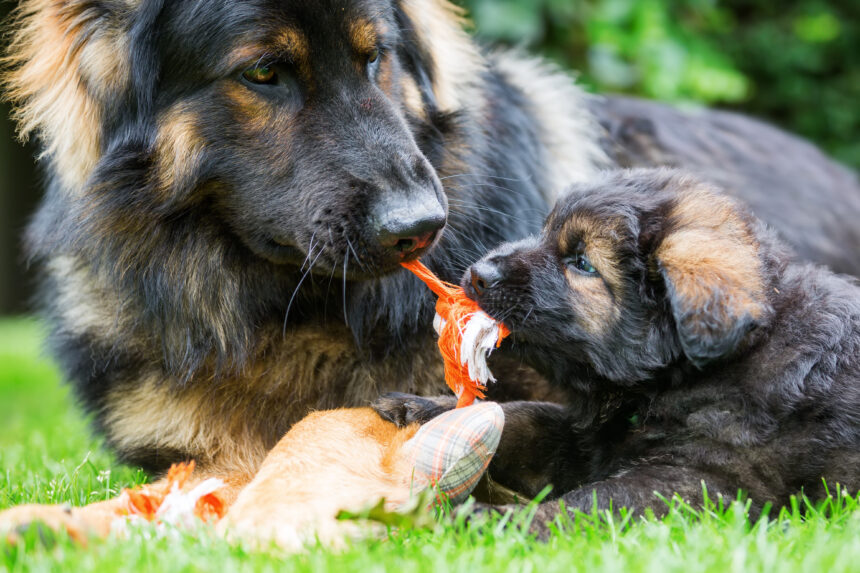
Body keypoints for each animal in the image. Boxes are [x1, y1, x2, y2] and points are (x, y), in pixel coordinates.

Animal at [378, 169, 860, 532]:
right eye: (546, 231)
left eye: (582, 263)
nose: (478, 273)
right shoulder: (582, 439)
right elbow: (517, 416)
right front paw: (424, 408)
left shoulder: (705, 483)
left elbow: (594, 503)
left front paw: (493, 522)